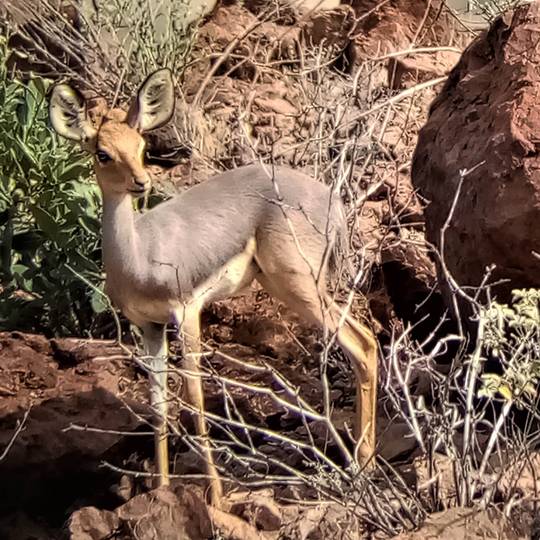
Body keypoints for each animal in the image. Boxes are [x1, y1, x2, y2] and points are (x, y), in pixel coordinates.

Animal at [49, 68, 380, 506]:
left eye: (141, 145)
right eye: (103, 152)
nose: (141, 182)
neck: (140, 254)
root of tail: (333, 201)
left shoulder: (187, 311)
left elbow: (193, 398)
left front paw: (218, 500)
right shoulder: (150, 326)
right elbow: (159, 405)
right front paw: (162, 490)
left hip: (299, 287)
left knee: (363, 344)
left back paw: (363, 469)